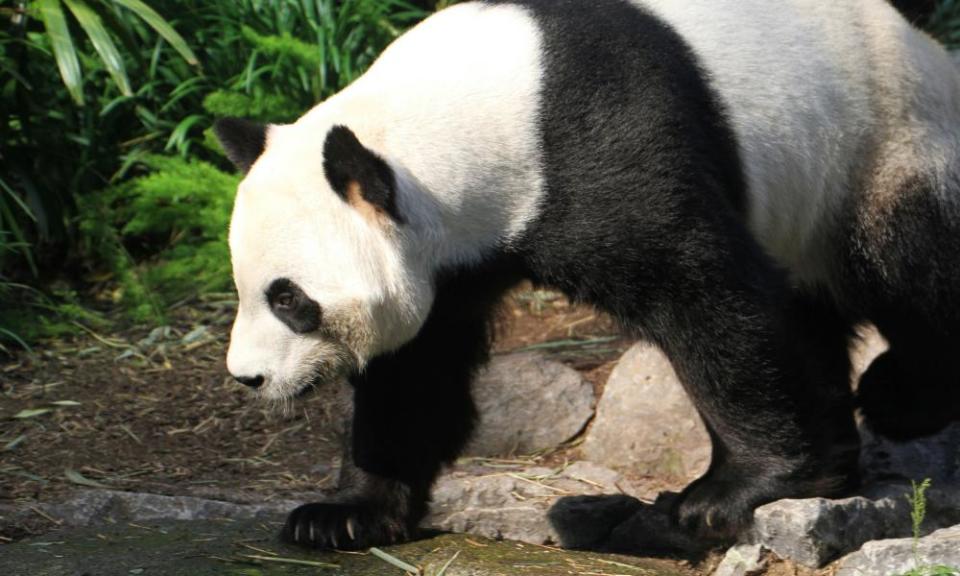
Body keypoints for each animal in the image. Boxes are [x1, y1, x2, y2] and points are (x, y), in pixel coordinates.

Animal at [214, 0, 960, 552]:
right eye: (246, 288)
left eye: (289, 299)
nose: (248, 378)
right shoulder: (451, 261)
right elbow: (415, 371)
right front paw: (340, 514)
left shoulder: (602, 148)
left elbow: (708, 298)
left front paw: (732, 493)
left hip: (881, 142)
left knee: (907, 266)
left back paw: (898, 397)